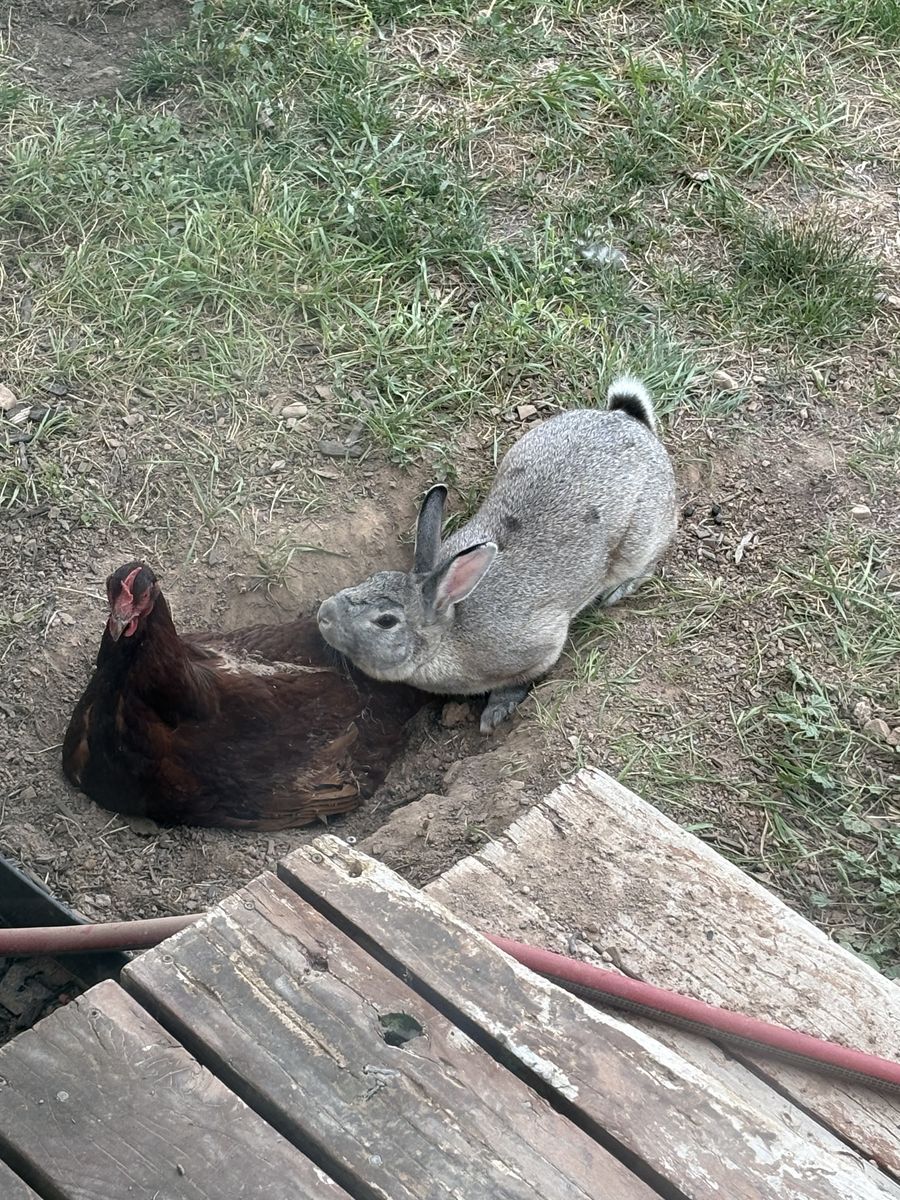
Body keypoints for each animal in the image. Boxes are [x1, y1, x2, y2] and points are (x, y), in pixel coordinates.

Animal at [317, 377, 677, 733]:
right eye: (372, 578)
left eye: (386, 620)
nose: (323, 614)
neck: (450, 628)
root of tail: (629, 421)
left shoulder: (540, 649)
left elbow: (517, 682)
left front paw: (495, 714)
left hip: (638, 541)